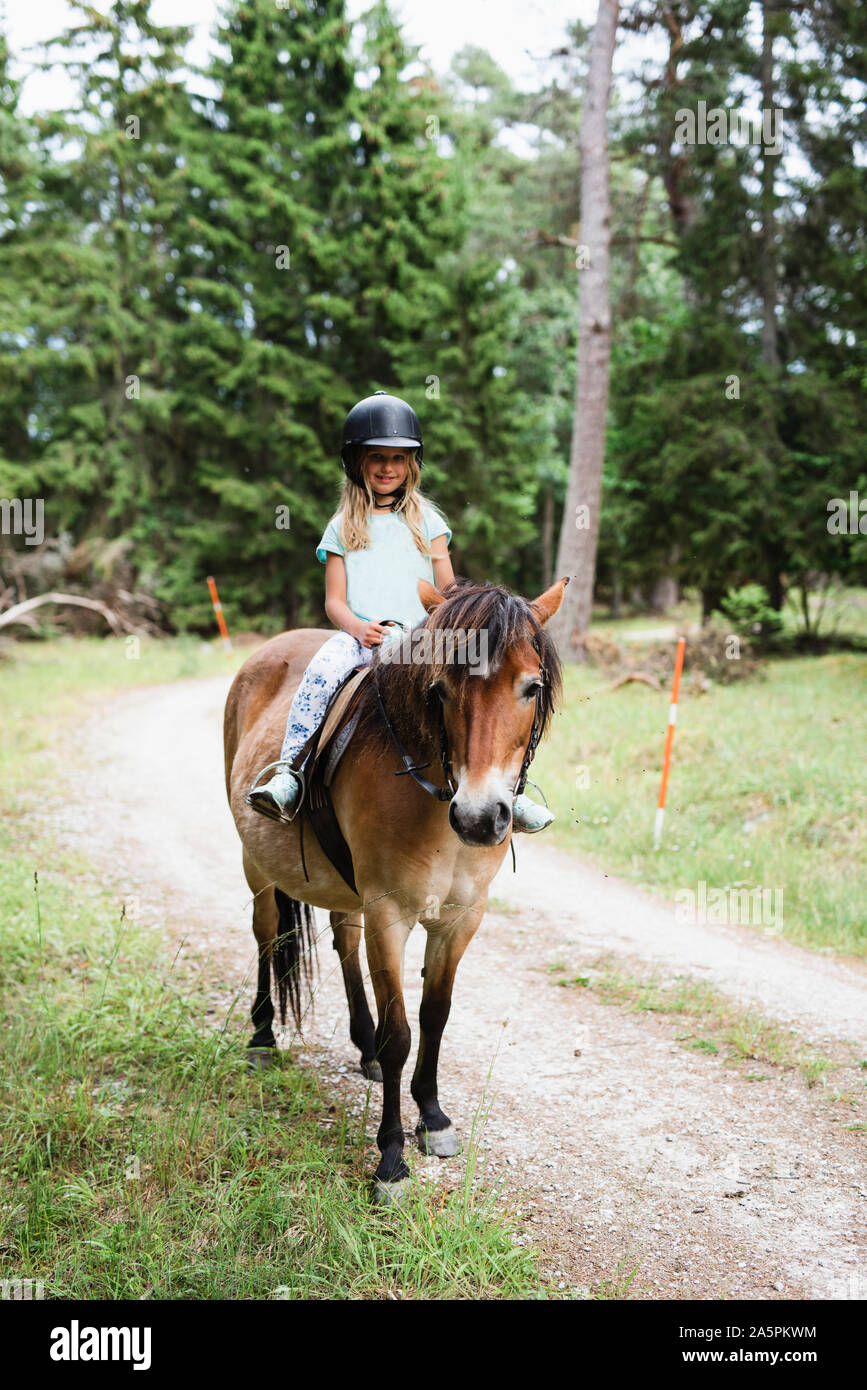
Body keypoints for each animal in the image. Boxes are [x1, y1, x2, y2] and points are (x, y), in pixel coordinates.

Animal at [223, 572, 566, 1195]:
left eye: (531, 688)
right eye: (440, 690)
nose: (480, 818)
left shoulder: (461, 918)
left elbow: (434, 1014)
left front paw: (432, 1116)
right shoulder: (390, 913)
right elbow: (400, 1033)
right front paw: (390, 1159)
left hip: (345, 889)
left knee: (343, 939)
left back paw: (361, 1046)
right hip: (255, 864)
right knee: (269, 936)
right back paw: (262, 1038)